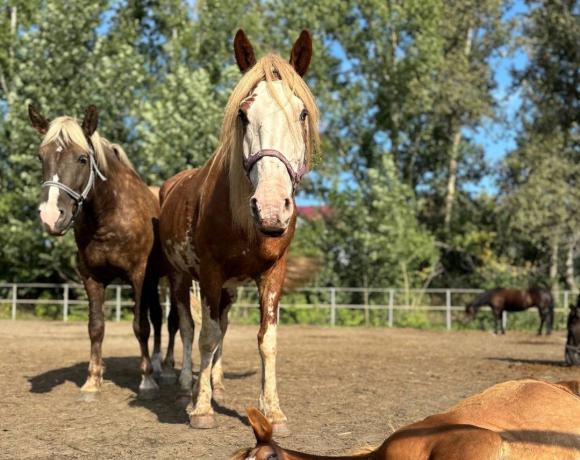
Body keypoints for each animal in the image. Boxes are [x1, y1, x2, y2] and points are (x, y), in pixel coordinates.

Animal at [159, 27, 320, 432]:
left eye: (302, 113)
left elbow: (266, 339)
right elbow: (206, 335)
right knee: (187, 327)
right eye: (244, 115)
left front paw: (272, 411)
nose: (271, 209)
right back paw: (186, 384)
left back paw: (214, 383)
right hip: (180, 277)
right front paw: (201, 409)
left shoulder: (273, 273)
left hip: (228, 289)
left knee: (223, 326)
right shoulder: (210, 273)